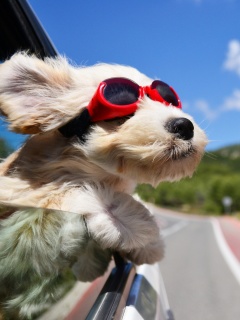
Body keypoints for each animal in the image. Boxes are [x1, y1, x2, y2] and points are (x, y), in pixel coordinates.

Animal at [0, 53, 206, 318]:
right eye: (122, 113)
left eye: (169, 100)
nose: (184, 125)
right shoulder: (19, 191)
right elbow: (60, 192)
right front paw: (133, 223)